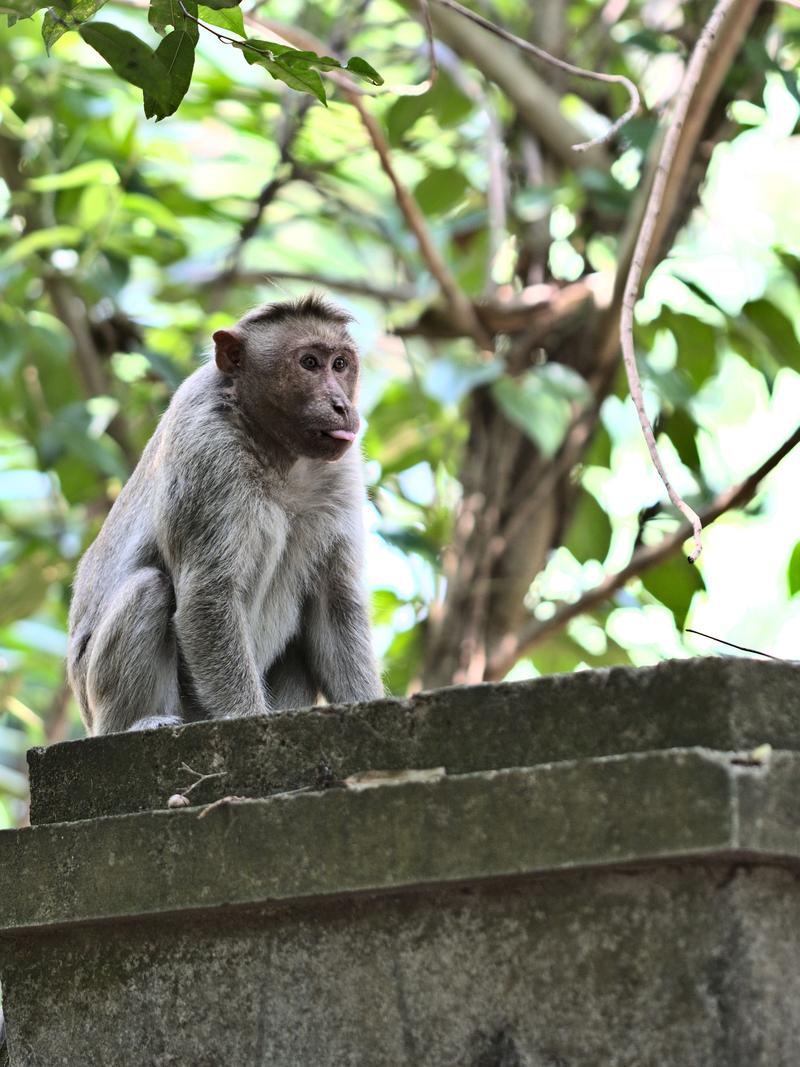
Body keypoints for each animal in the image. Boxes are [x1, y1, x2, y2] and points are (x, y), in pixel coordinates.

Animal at [65, 296, 386, 738]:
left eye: (340, 364)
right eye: (309, 363)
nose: (342, 405)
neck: (274, 449)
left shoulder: (343, 470)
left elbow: (333, 605)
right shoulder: (208, 452)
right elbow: (207, 594)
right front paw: (245, 717)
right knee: (149, 589)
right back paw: (140, 722)